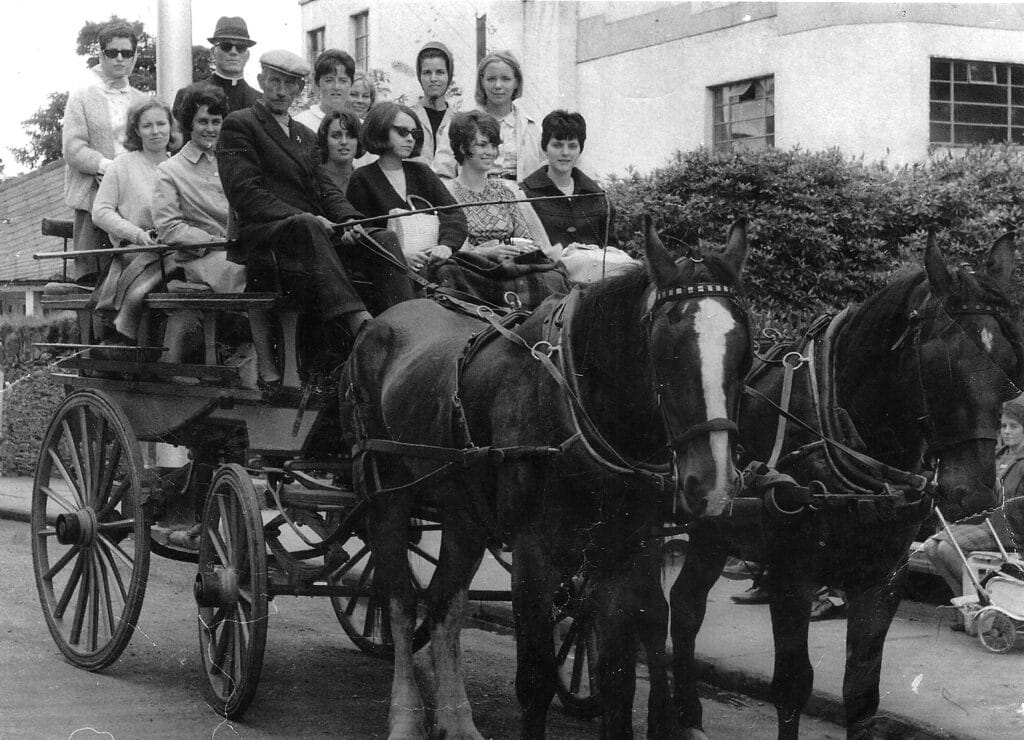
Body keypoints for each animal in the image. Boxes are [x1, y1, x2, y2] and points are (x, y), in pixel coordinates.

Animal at [344, 216, 753, 736]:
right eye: (669, 348)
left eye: (744, 352)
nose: (713, 482)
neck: (577, 405)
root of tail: (383, 319)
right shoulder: (533, 552)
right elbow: (535, 680)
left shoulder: (624, 552)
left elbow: (619, 678)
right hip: (385, 491)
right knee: (398, 599)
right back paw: (406, 717)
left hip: (463, 509)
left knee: (443, 602)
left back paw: (457, 720)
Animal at [671, 233, 1024, 740]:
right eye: (939, 362)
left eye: (1011, 364)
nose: (976, 493)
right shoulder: (792, 571)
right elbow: (791, 684)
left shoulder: (883, 573)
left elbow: (861, 690)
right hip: (708, 532)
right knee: (683, 608)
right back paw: (685, 713)